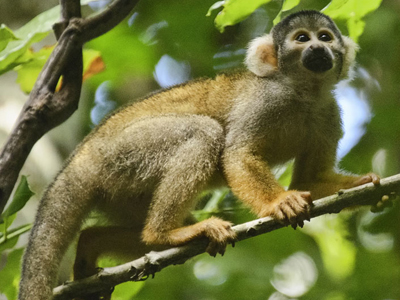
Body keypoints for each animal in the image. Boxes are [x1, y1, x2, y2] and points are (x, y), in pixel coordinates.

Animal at [19, 9, 378, 300]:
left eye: (325, 37)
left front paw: (365, 185)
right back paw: (166, 233)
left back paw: (93, 244)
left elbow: (311, 180)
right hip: (121, 155)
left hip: (118, 191)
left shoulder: (329, 112)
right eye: (301, 38)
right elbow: (238, 154)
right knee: (204, 133)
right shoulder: (265, 100)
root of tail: (79, 158)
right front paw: (280, 202)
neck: (303, 92)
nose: (318, 49)